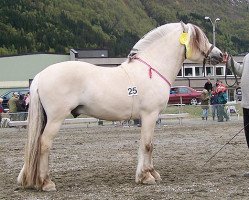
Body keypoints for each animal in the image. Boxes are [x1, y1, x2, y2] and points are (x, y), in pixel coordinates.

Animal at [17, 21, 224, 191]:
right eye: (200, 38)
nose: (220, 54)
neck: (152, 69)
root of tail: (40, 76)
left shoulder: (150, 117)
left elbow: (148, 145)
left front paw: (151, 173)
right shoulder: (149, 115)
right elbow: (147, 145)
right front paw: (146, 177)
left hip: (46, 119)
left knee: (36, 144)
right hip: (56, 119)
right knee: (44, 144)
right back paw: (46, 183)